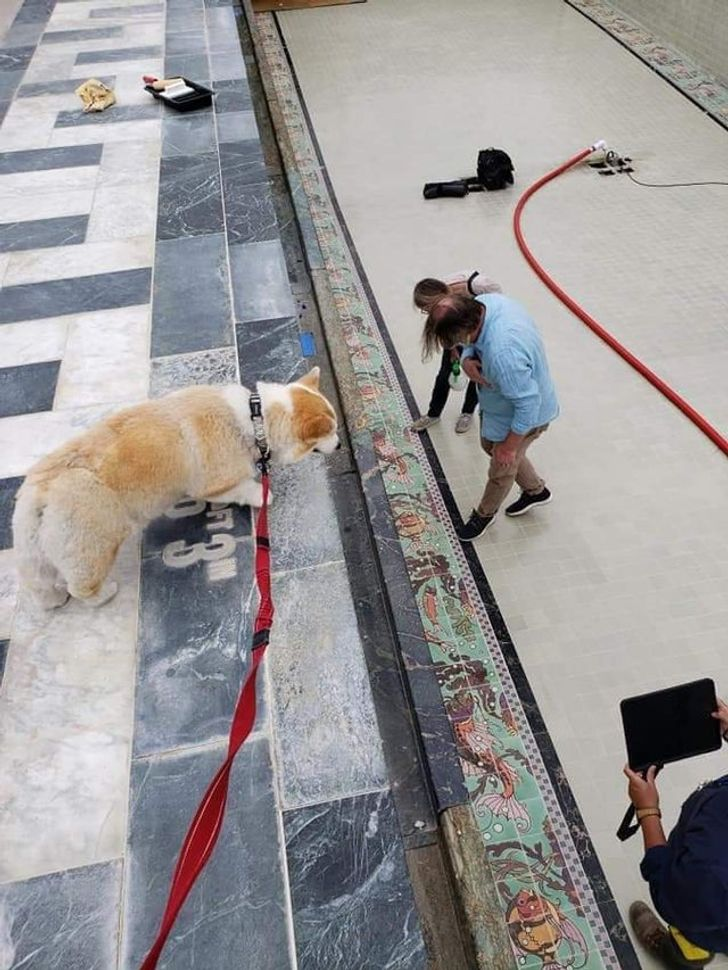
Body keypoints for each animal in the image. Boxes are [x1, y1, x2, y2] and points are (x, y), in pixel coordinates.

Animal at [12, 366, 338, 608]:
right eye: (331, 432)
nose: (338, 445)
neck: (256, 419)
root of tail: (41, 491)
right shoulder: (215, 483)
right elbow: (245, 488)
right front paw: (263, 494)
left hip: (36, 546)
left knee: (39, 582)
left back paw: (53, 600)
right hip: (93, 543)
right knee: (83, 586)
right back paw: (105, 594)